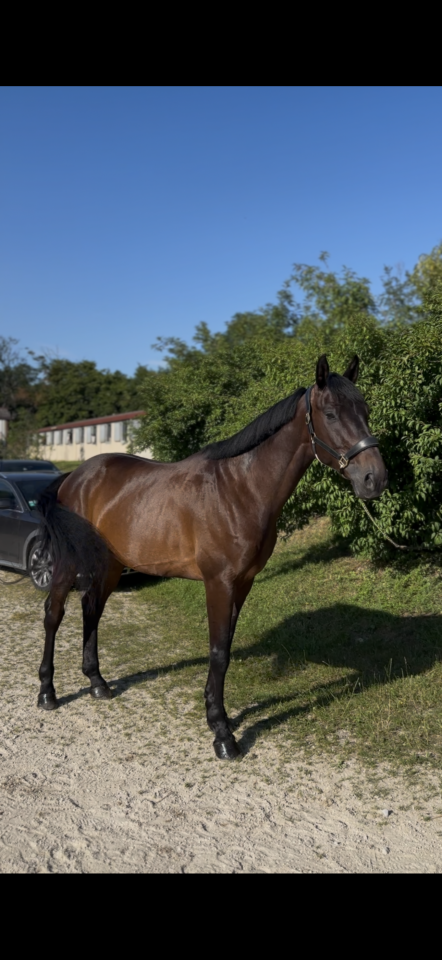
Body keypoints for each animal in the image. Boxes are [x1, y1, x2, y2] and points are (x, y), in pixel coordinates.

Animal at [36, 354, 387, 759]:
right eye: (330, 414)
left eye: (366, 410)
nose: (375, 478)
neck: (239, 489)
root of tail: (72, 477)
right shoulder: (218, 583)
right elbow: (218, 651)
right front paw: (222, 734)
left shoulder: (244, 583)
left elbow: (227, 650)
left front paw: (219, 716)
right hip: (69, 564)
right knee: (54, 614)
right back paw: (47, 693)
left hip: (109, 565)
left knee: (91, 611)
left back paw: (97, 683)